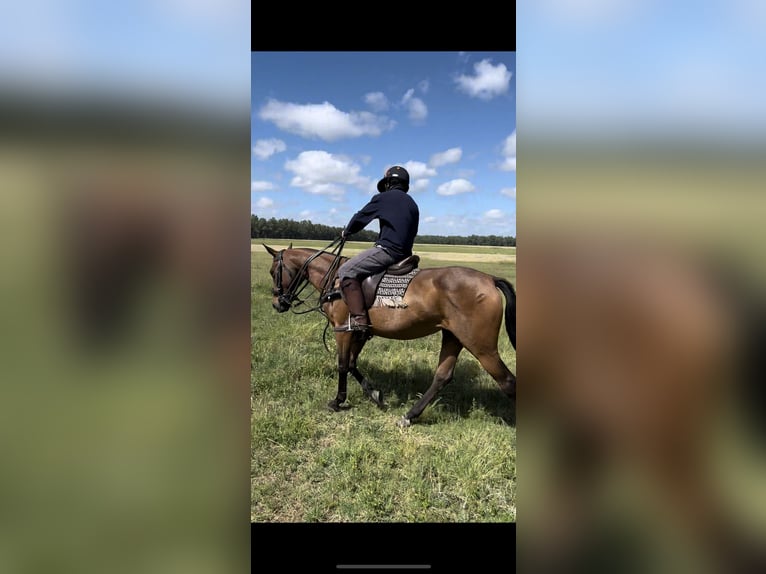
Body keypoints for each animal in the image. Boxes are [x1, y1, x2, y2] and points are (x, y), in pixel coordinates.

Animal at [260, 242, 520, 428]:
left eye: (273, 271)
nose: (277, 304)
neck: (334, 279)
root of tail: (489, 279)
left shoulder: (343, 330)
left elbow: (343, 364)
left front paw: (338, 401)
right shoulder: (359, 333)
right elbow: (353, 364)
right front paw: (375, 395)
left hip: (481, 346)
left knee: (507, 381)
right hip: (453, 337)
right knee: (442, 376)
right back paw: (410, 415)